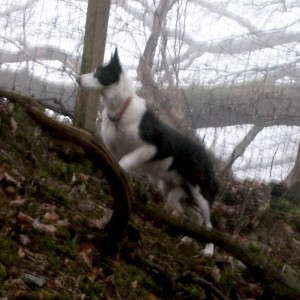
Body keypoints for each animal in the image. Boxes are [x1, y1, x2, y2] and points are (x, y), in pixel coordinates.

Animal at [76, 48, 219, 255]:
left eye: (99, 73)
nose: (78, 79)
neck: (120, 111)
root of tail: (209, 160)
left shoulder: (148, 149)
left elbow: (123, 163)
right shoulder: (112, 151)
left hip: (202, 195)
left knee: (209, 225)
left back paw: (208, 250)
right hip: (174, 193)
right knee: (196, 217)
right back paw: (188, 239)